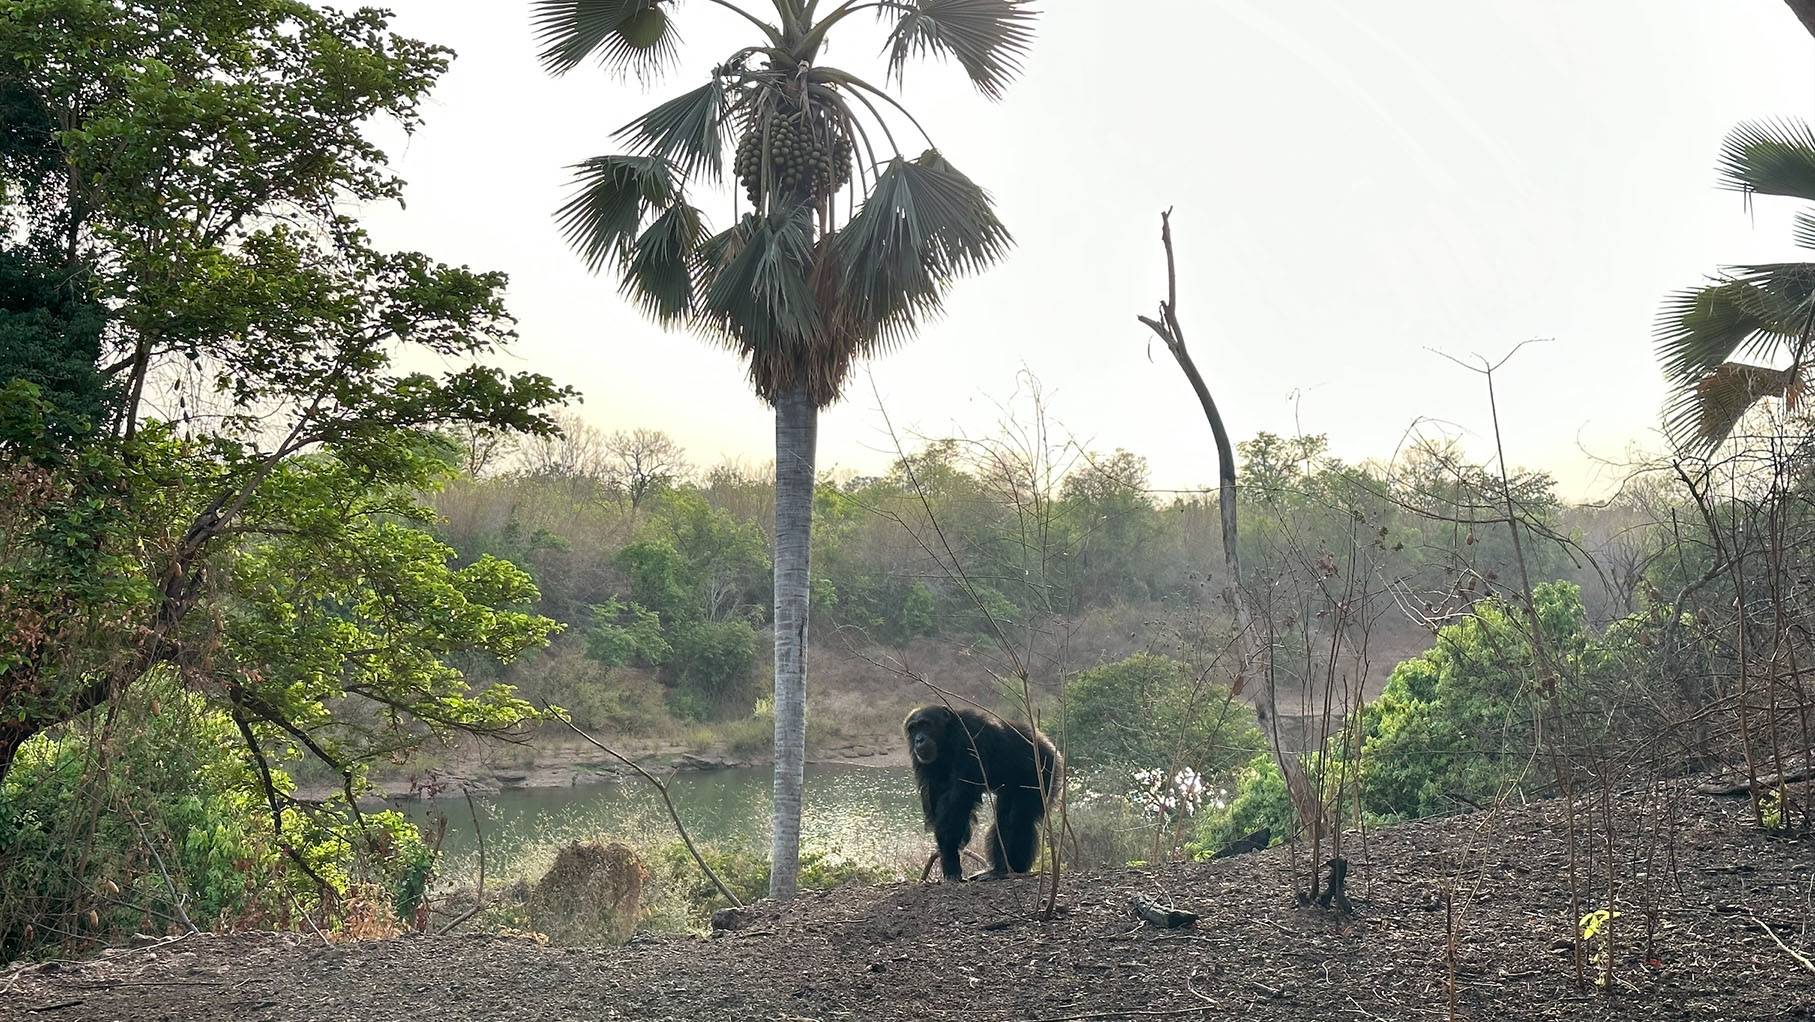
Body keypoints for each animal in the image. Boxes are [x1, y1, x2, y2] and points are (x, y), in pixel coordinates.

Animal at [900, 704, 1059, 878]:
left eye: (925, 724)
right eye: (913, 728)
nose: (919, 739)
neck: (947, 738)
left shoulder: (970, 738)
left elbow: (958, 798)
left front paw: (950, 855)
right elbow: (937, 798)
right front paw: (948, 857)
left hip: (1043, 771)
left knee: (1018, 818)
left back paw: (1012, 867)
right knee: (1004, 817)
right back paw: (999, 868)